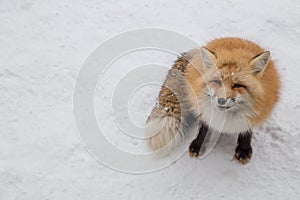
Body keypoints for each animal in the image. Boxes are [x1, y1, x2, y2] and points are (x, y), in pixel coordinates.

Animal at [145, 37, 282, 164]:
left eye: (237, 85)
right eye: (217, 81)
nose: (221, 100)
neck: (226, 117)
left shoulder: (257, 111)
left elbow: (247, 129)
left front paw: (243, 149)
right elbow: (204, 126)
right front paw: (198, 144)